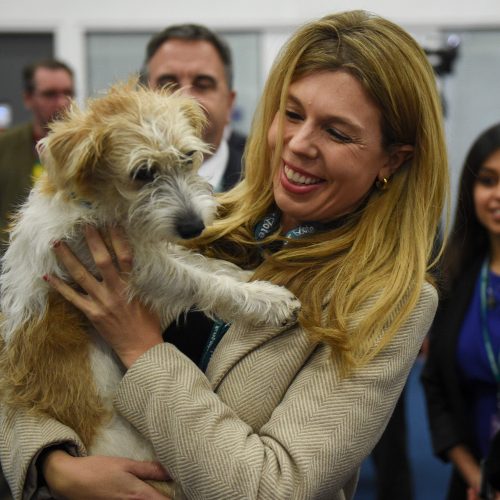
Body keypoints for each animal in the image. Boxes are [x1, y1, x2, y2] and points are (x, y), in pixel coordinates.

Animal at [0, 82, 298, 496]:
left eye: (188, 157)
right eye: (143, 173)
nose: (194, 226)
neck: (102, 205)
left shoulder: (146, 249)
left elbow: (202, 264)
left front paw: (248, 275)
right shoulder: (135, 269)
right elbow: (198, 280)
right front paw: (265, 300)